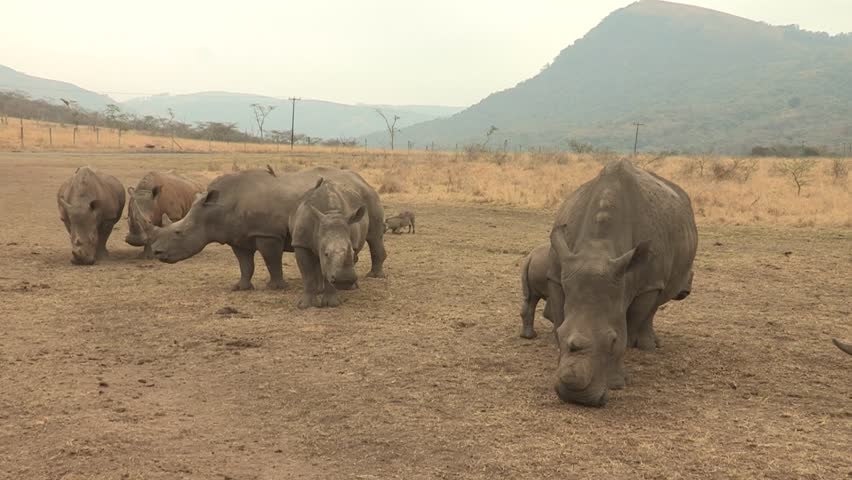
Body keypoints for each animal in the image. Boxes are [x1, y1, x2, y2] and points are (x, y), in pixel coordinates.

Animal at [147, 166, 386, 291]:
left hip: (369, 197)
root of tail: (360, 178)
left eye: (179, 233)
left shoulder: (267, 233)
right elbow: (245, 264)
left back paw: (373, 276)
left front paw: (276, 287)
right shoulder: (238, 237)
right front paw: (240, 287)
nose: (157, 252)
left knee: (374, 236)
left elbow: (272, 261)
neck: (215, 210)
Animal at [290, 177, 379, 308]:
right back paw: (319, 290)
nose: (345, 280)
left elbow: (329, 272)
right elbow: (307, 274)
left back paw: (350, 288)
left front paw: (331, 304)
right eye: (326, 254)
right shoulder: (301, 243)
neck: (330, 213)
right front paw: (305, 305)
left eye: (352, 252)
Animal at [545, 159, 697, 407]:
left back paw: (649, 347)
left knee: (654, 303)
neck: (598, 249)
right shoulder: (558, 275)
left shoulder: (646, 282)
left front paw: (617, 382)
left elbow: (631, 322)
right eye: (560, 334)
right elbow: (560, 316)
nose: (577, 398)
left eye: (613, 340)